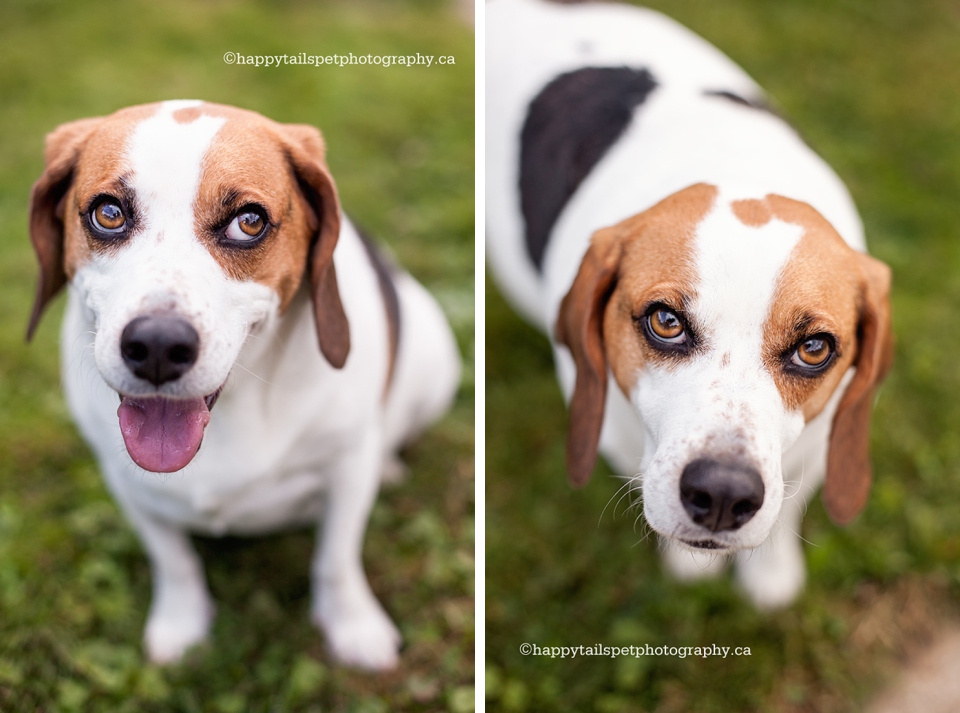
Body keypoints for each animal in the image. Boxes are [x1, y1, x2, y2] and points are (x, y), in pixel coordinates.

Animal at [26, 98, 462, 668]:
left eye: (248, 222)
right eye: (108, 213)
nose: (158, 346)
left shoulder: (347, 470)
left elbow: (336, 559)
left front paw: (353, 627)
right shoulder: (126, 486)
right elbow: (174, 561)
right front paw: (182, 624)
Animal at [488, 0, 892, 608]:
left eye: (815, 348)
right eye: (665, 321)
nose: (723, 494)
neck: (738, 163)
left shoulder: (823, 438)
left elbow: (789, 500)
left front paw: (770, 573)